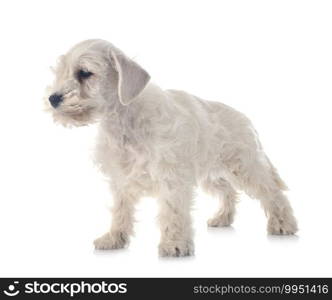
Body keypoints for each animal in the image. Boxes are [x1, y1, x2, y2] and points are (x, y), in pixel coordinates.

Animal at [45, 38, 296, 256]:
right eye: (62, 71)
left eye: (84, 73)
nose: (53, 99)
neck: (124, 120)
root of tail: (246, 119)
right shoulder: (121, 180)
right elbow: (120, 211)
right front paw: (114, 238)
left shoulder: (171, 177)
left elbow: (172, 211)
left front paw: (174, 244)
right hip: (211, 174)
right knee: (228, 191)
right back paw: (223, 218)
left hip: (246, 167)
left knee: (273, 193)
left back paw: (284, 224)